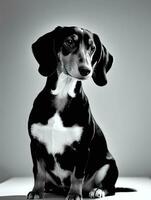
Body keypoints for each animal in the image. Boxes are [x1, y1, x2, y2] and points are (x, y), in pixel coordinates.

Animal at [27, 25, 119, 199]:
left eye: (92, 48)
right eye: (69, 41)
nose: (86, 70)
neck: (63, 94)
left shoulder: (83, 148)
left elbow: (77, 175)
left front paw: (75, 194)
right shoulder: (36, 145)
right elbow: (39, 172)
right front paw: (36, 191)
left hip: (109, 165)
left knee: (110, 188)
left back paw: (97, 190)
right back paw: (49, 189)